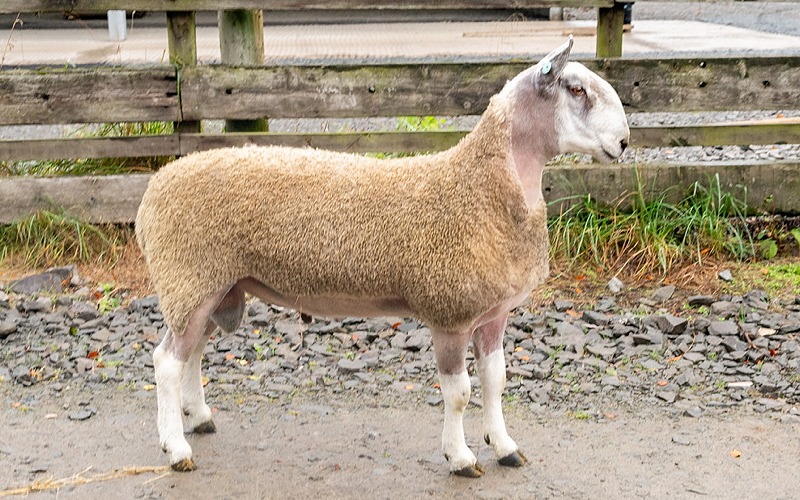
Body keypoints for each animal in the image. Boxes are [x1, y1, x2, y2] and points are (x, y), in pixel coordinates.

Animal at [134, 38, 628, 476]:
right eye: (576, 89)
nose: (624, 142)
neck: (481, 186)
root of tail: (157, 185)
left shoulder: (492, 313)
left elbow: (496, 381)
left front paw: (504, 447)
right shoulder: (449, 314)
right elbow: (459, 393)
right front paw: (460, 458)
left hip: (212, 287)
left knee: (193, 352)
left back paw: (199, 418)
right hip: (189, 277)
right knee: (166, 362)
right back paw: (175, 449)